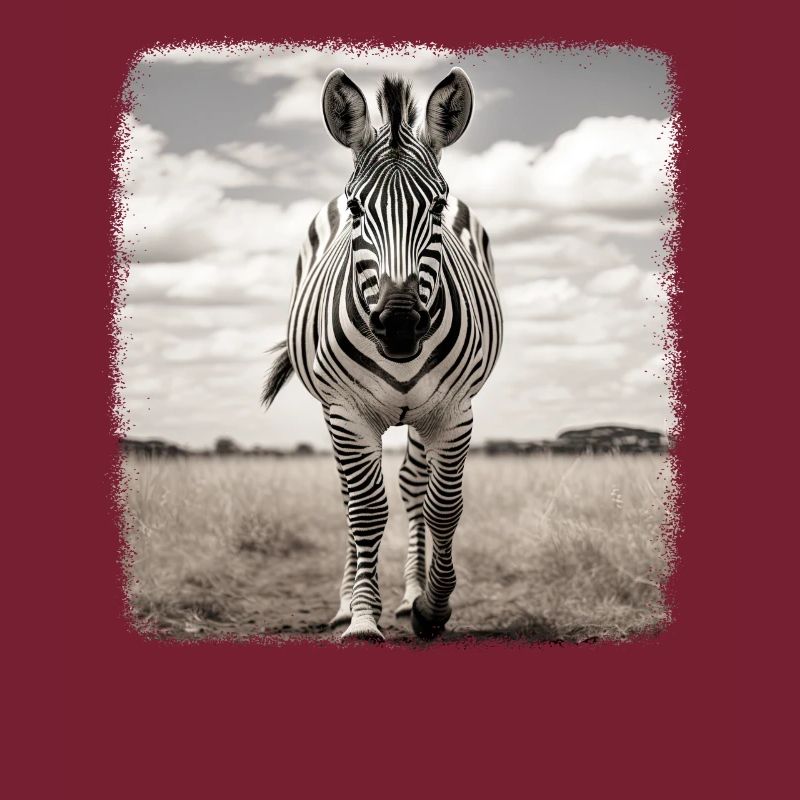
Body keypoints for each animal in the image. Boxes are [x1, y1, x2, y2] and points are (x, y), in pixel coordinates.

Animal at [263, 68, 503, 641]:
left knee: (414, 488)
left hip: (419, 416)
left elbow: (443, 507)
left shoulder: (453, 411)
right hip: (336, 411)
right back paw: (347, 601)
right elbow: (366, 510)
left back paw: (411, 594)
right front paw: (362, 620)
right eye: (356, 209)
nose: (398, 325)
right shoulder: (346, 412)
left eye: (437, 207)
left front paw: (431, 607)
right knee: (352, 497)